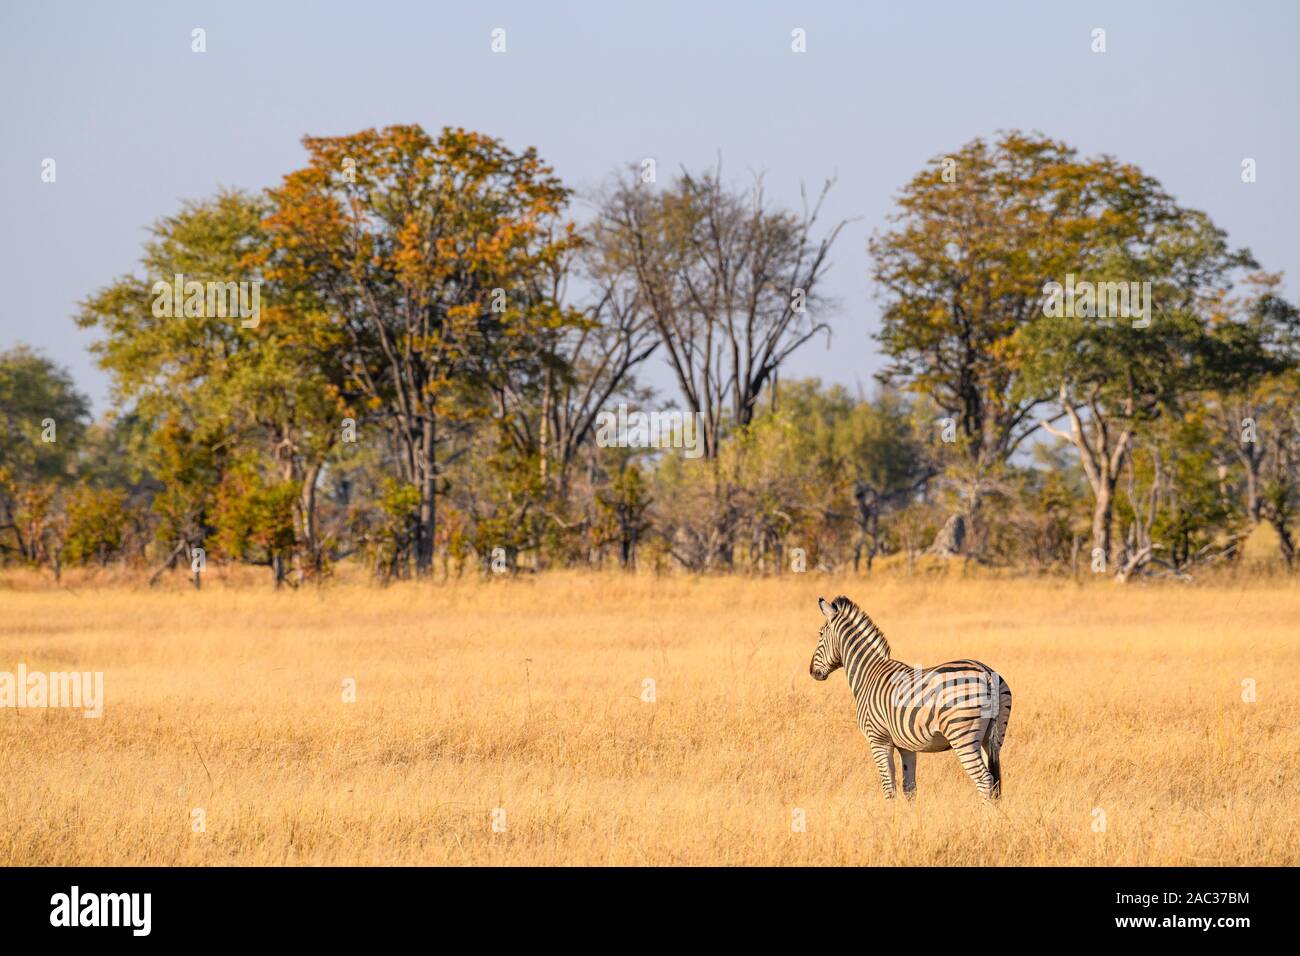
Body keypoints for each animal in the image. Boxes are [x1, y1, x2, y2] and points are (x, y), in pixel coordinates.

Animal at [808, 595, 1012, 800]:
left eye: (820, 634)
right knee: (994, 781)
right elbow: (909, 787)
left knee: (984, 779)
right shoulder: (906, 746)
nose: (812, 672)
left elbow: (889, 787)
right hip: (992, 739)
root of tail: (986, 672)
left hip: (962, 735)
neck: (869, 673)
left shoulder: (878, 740)